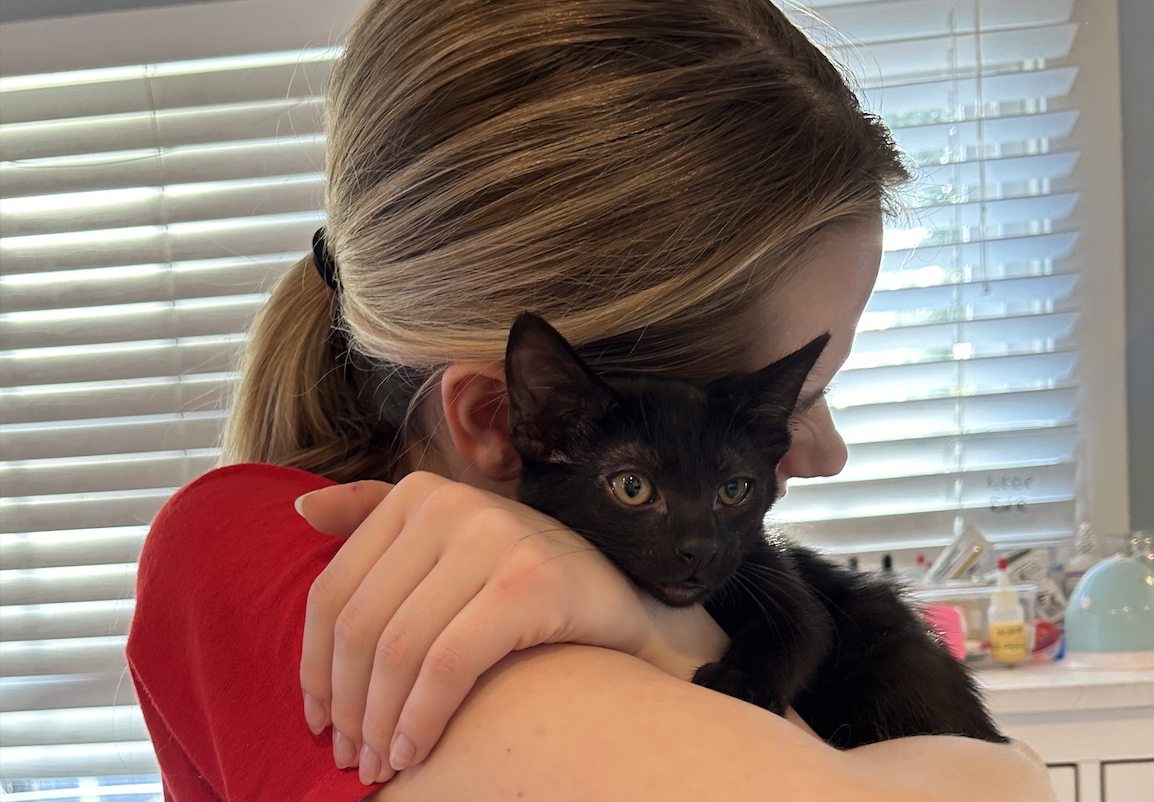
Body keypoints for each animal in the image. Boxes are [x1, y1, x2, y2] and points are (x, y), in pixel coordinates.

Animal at [503, 311, 1001, 747]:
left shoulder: (770, 568)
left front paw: (737, 683)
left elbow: (802, 624)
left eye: (734, 489)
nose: (700, 549)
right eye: (632, 487)